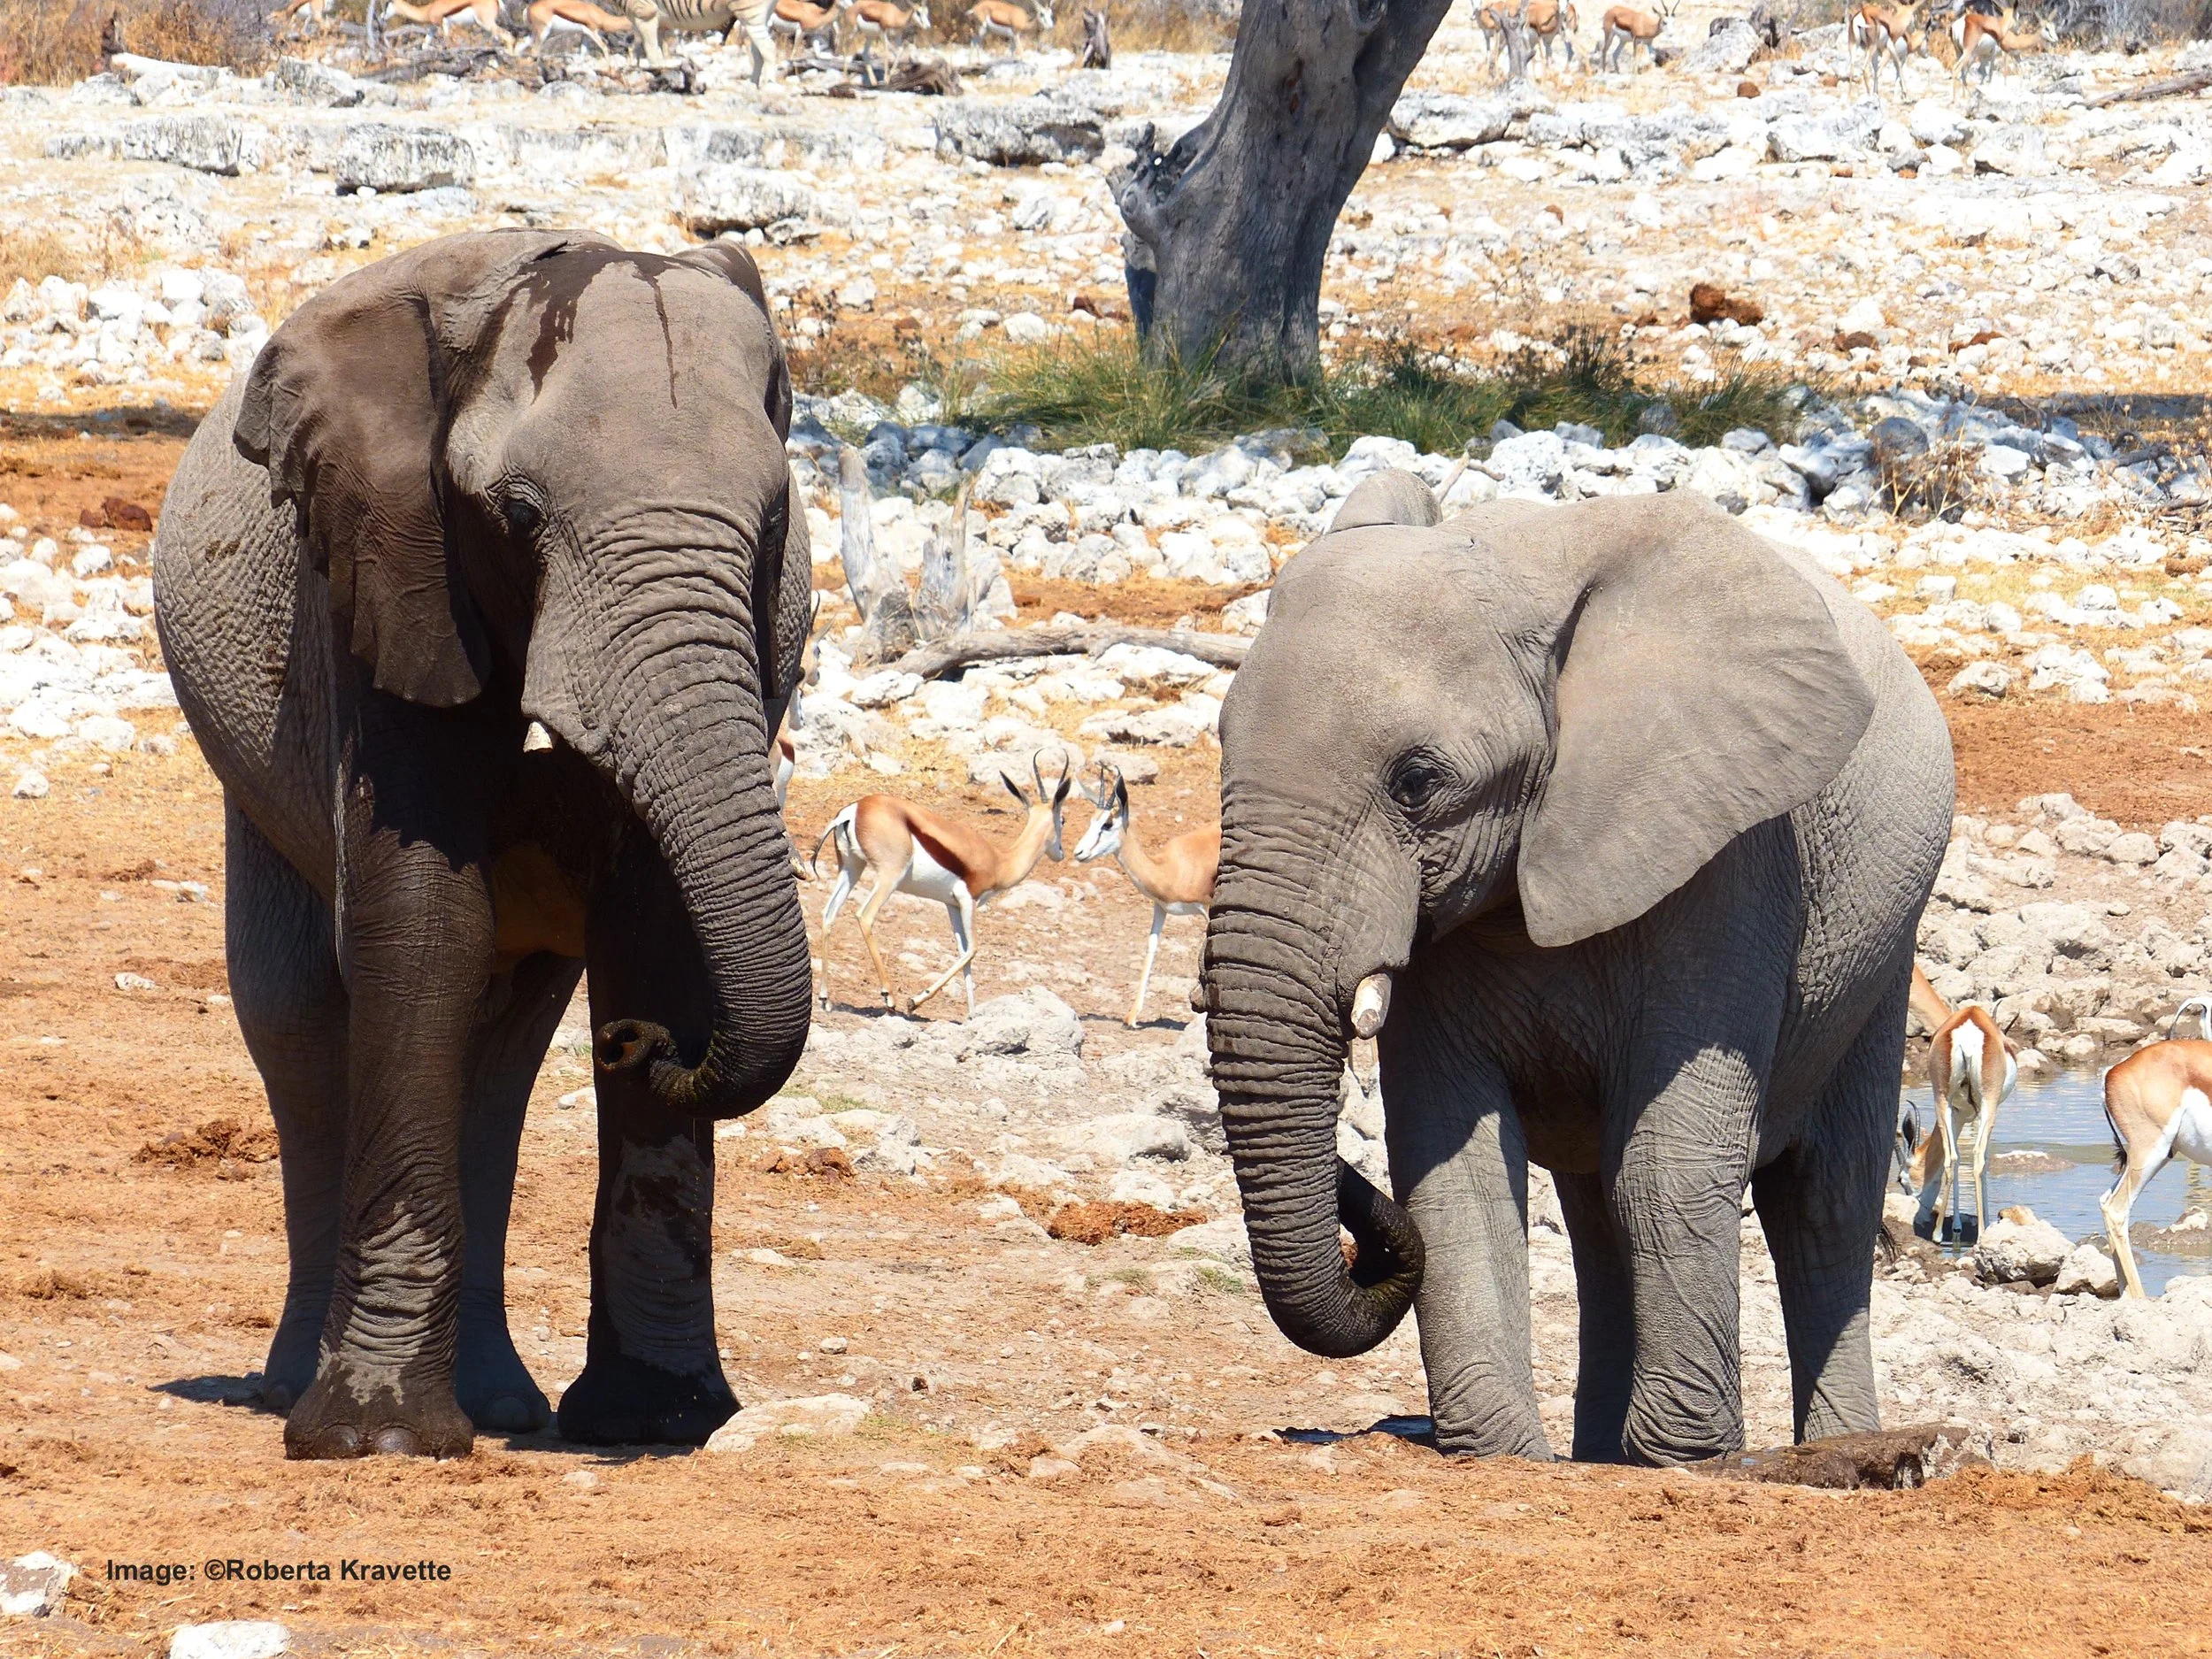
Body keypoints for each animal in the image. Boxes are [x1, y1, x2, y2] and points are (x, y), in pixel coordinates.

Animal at [152, 229, 816, 1458]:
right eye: (517, 516)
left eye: (772, 524)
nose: (644, 1047)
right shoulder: (379, 564)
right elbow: (422, 930)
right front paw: (374, 1441)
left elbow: (652, 931)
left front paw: (655, 1419)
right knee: (295, 1015)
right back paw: (296, 1390)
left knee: (502, 1051)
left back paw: (500, 1404)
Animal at [1198, 479, 1953, 1466]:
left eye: (1416, 781)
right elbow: (1452, 1160)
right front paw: (1500, 1456)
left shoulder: (1732, 856)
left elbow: (1667, 1164)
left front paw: (1692, 1461)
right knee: (1598, 1212)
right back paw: (1599, 1458)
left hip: (1882, 946)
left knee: (1822, 1201)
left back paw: (1838, 1449)